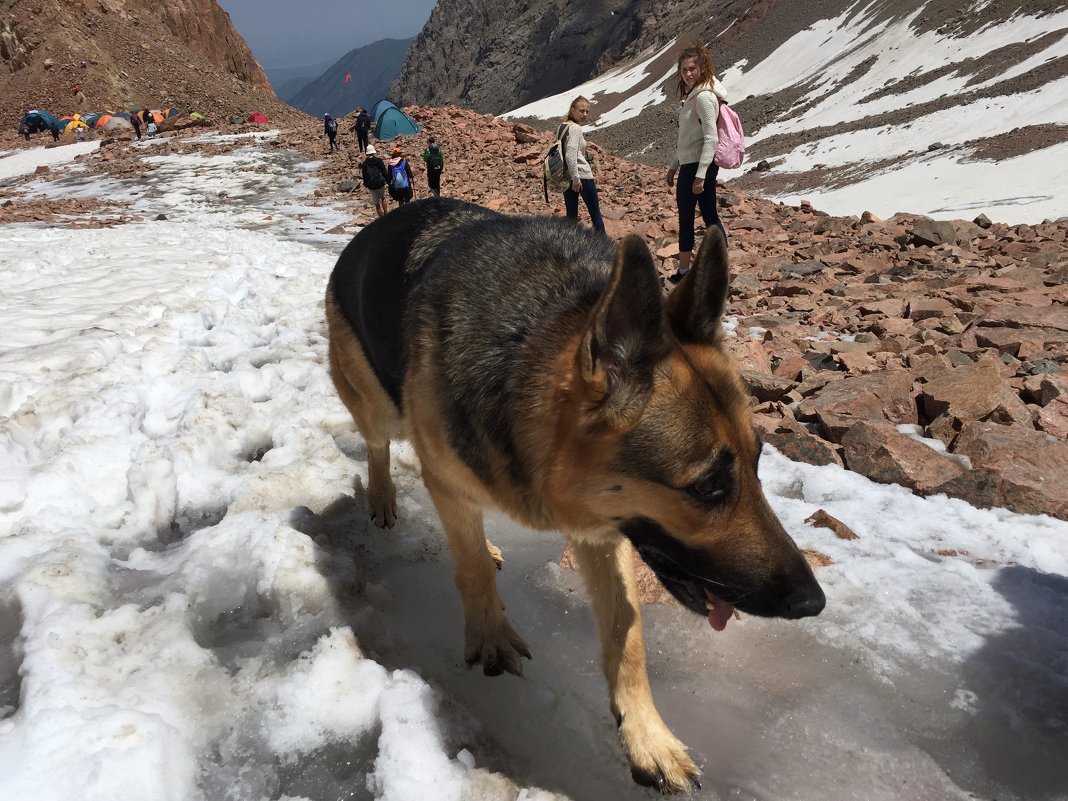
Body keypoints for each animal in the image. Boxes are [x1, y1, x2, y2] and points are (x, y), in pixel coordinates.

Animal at [324, 199, 824, 790]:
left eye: (758, 462)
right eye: (708, 486)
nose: (814, 603)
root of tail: (373, 229)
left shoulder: (605, 530)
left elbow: (626, 633)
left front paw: (646, 736)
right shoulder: (449, 480)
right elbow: (469, 567)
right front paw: (490, 634)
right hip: (378, 404)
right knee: (379, 445)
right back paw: (383, 499)